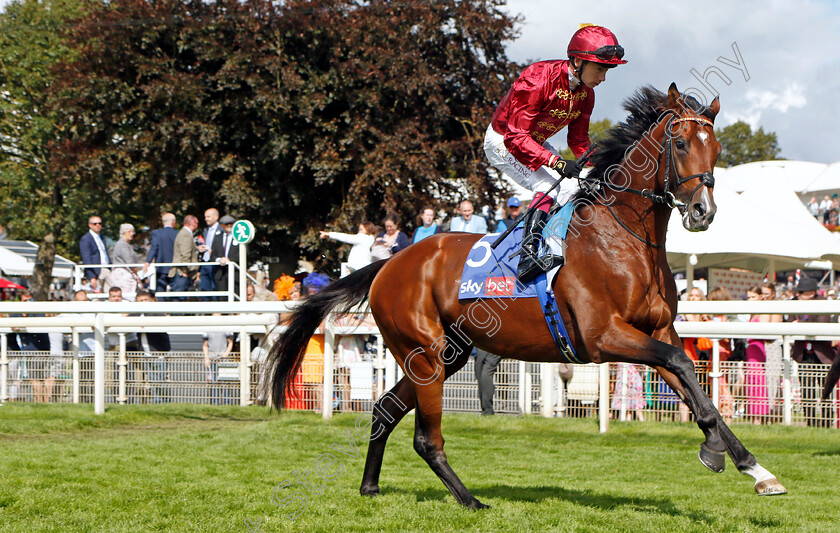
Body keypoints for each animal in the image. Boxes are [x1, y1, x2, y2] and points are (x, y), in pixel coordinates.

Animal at [270, 83, 788, 508]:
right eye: (680, 144)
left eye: (716, 148)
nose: (703, 212)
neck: (622, 239)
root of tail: (389, 263)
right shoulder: (603, 336)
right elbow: (683, 368)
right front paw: (715, 452)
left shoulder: (657, 331)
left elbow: (696, 388)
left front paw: (757, 469)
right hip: (425, 352)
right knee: (425, 438)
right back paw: (470, 501)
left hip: (446, 354)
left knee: (384, 410)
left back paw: (370, 487)